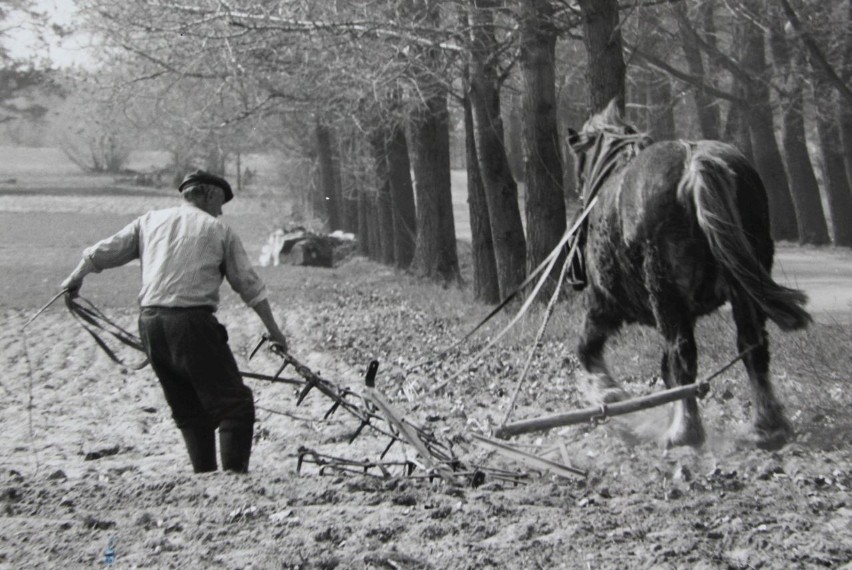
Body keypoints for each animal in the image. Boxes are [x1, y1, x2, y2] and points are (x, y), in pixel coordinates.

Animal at [568, 101, 808, 448]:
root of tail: (696, 165)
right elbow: (665, 370)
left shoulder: (605, 302)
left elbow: (588, 348)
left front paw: (608, 393)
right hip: (743, 292)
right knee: (753, 348)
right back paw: (767, 426)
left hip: (664, 294)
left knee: (684, 356)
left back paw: (685, 432)